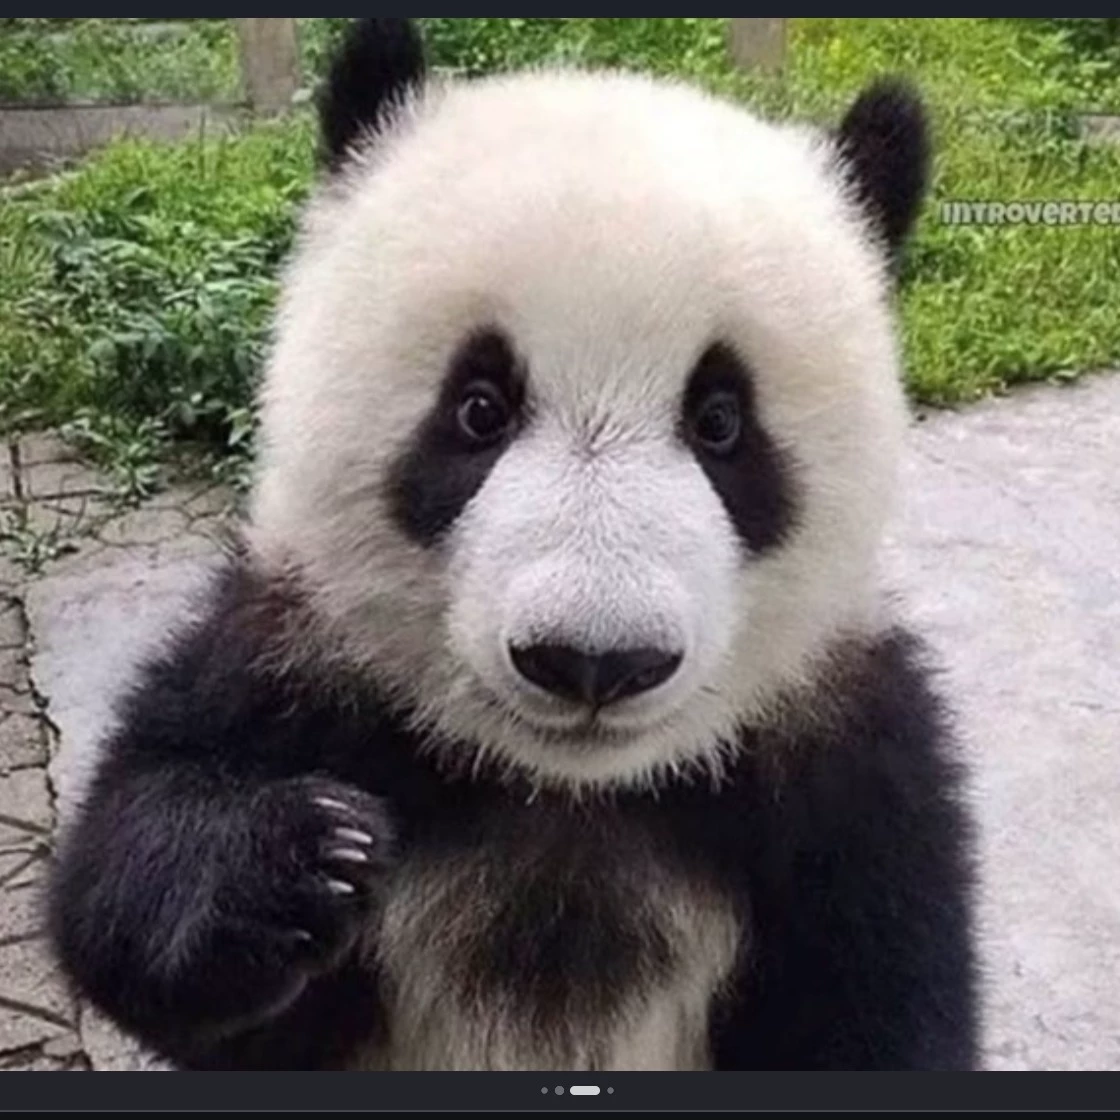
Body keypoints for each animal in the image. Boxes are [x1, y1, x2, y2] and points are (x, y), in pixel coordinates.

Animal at [48, 18, 977, 1071]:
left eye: (722, 423)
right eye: (479, 408)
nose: (593, 662)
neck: (567, 792)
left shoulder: (850, 778)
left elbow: (880, 1009)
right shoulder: (296, 662)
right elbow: (125, 883)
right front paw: (296, 864)